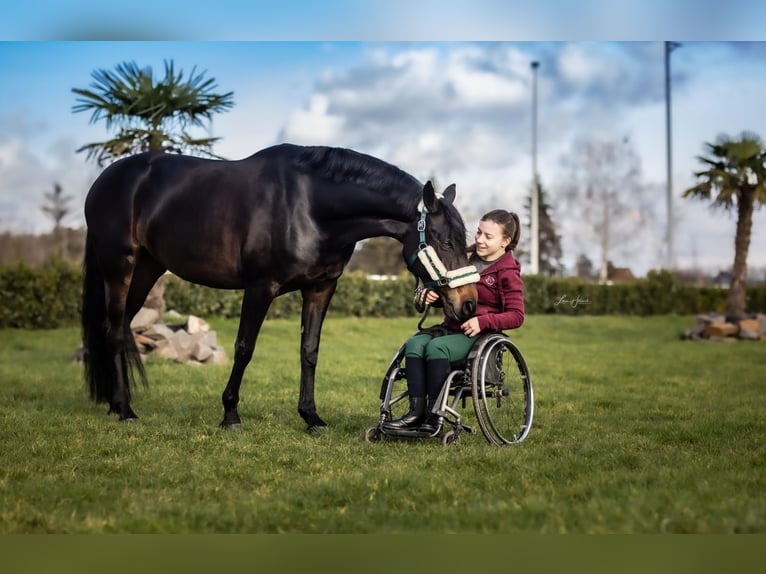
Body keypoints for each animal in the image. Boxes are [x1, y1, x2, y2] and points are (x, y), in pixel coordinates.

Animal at [84, 143, 480, 432]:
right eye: (444, 240)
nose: (469, 305)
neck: (310, 207)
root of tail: (105, 181)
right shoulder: (261, 287)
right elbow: (244, 348)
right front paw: (231, 416)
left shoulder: (321, 288)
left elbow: (310, 350)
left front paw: (311, 417)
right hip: (120, 267)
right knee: (115, 333)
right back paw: (126, 411)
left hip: (148, 268)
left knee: (119, 327)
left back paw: (116, 403)